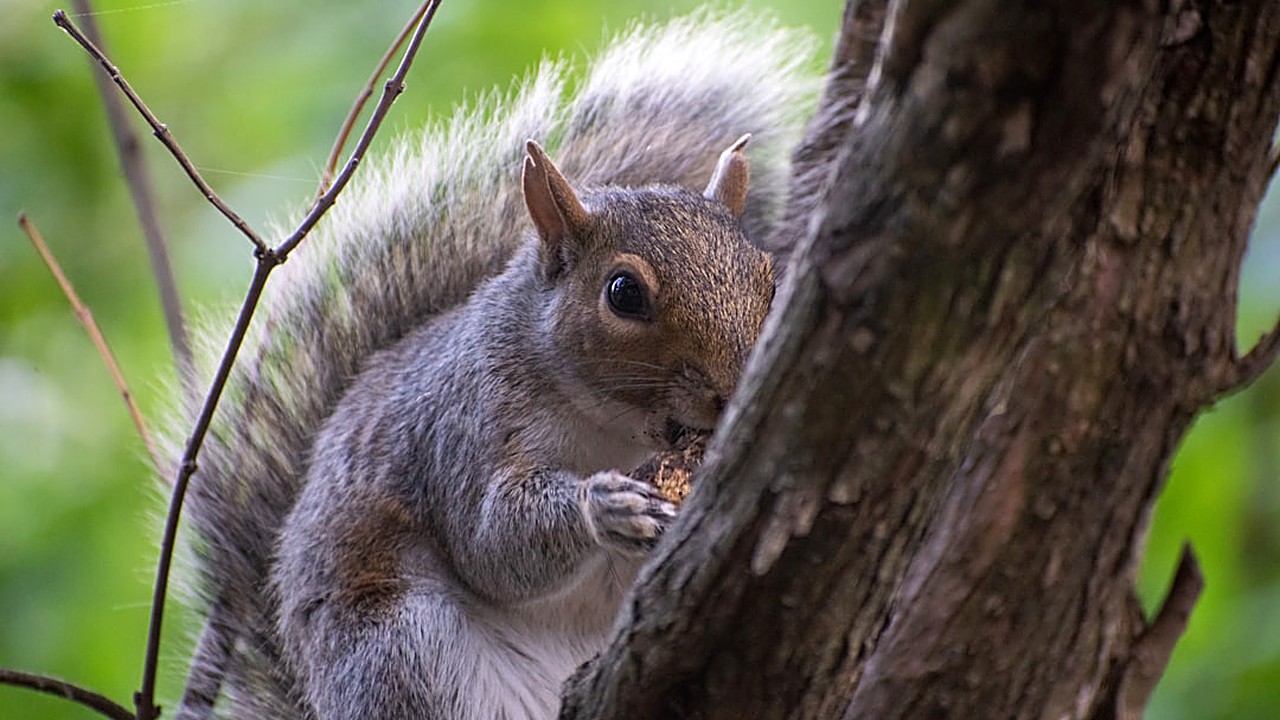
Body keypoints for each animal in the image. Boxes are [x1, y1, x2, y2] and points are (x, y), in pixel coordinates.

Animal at [169, 10, 814, 720]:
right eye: (623, 293)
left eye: (768, 277)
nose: (735, 389)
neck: (614, 427)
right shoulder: (464, 429)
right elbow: (490, 544)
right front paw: (602, 506)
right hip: (399, 646)